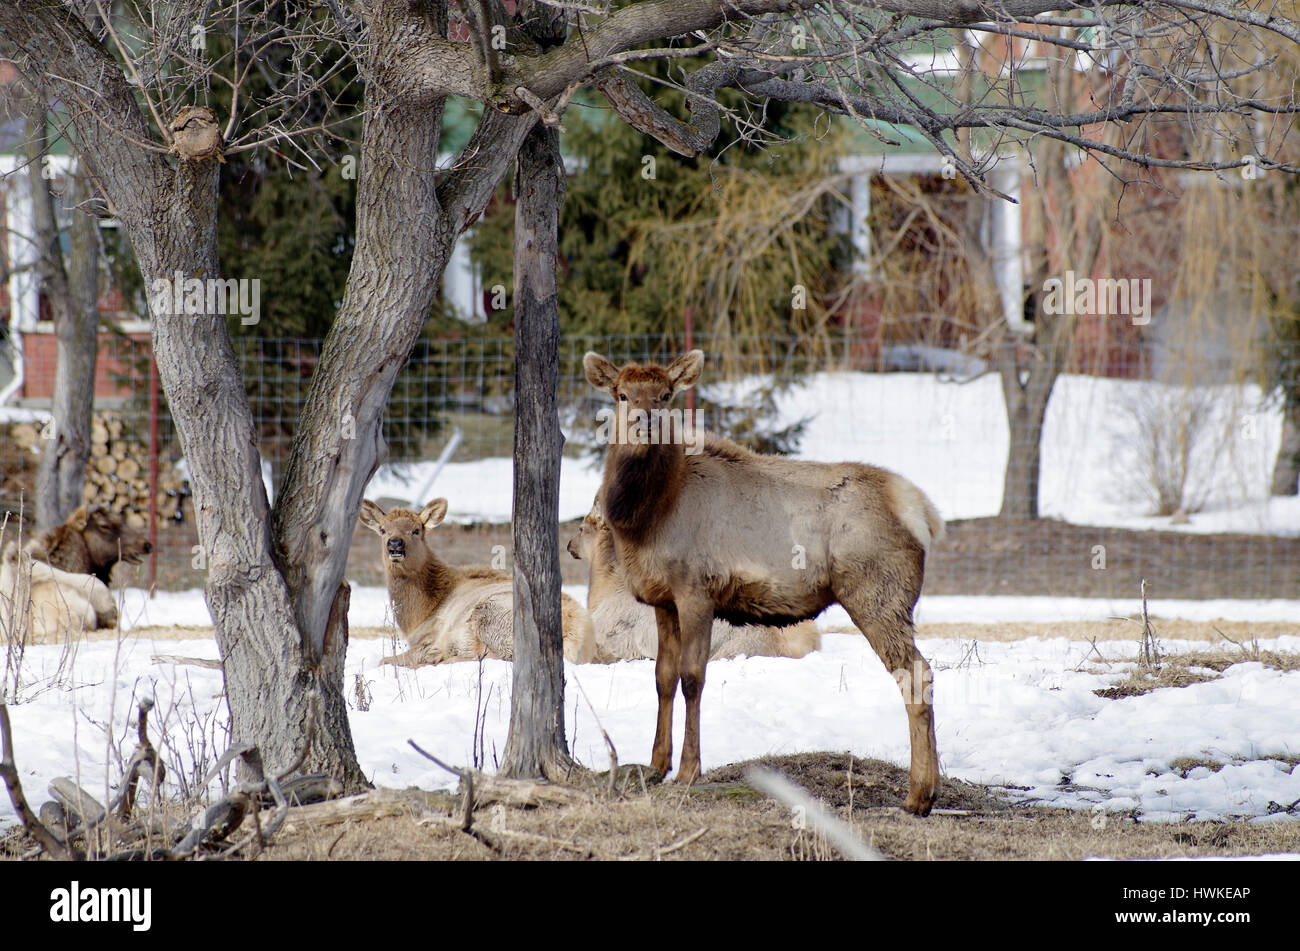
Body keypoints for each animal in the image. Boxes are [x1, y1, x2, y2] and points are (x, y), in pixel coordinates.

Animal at [358, 501, 595, 665]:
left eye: (416, 530)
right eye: (382, 529)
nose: (395, 545)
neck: (420, 614)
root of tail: (577, 636)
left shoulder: (429, 637)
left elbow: (385, 660)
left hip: (493, 614)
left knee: (494, 657)